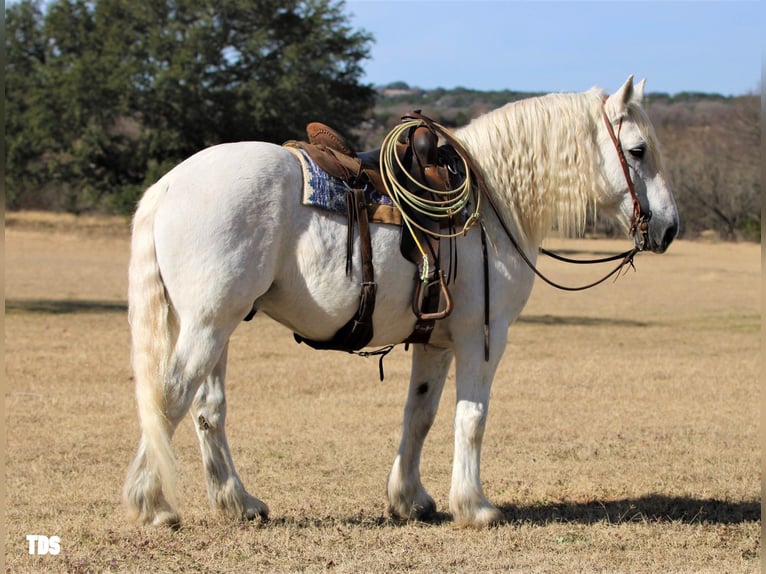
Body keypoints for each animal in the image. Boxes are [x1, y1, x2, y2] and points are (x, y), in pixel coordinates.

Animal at [124, 76, 680, 532]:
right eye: (637, 150)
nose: (670, 227)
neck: (493, 202)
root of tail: (169, 185)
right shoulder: (483, 337)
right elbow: (471, 418)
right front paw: (474, 506)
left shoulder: (436, 342)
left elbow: (421, 414)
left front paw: (409, 499)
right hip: (208, 324)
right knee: (170, 396)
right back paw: (152, 502)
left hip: (218, 325)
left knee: (207, 410)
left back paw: (238, 503)